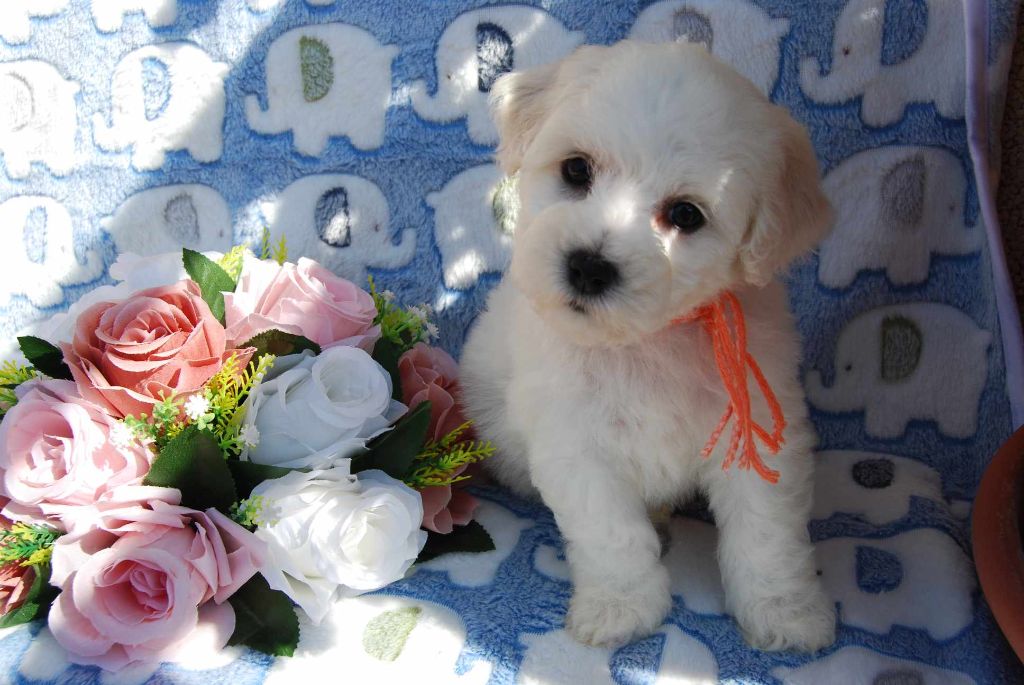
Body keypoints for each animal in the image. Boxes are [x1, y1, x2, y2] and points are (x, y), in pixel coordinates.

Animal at [459, 41, 836, 651]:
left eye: (685, 214)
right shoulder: (576, 445)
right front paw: (621, 608)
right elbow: (610, 532)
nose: (588, 266)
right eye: (576, 169)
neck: (644, 339)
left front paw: (787, 612)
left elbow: (767, 531)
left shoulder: (759, 428)